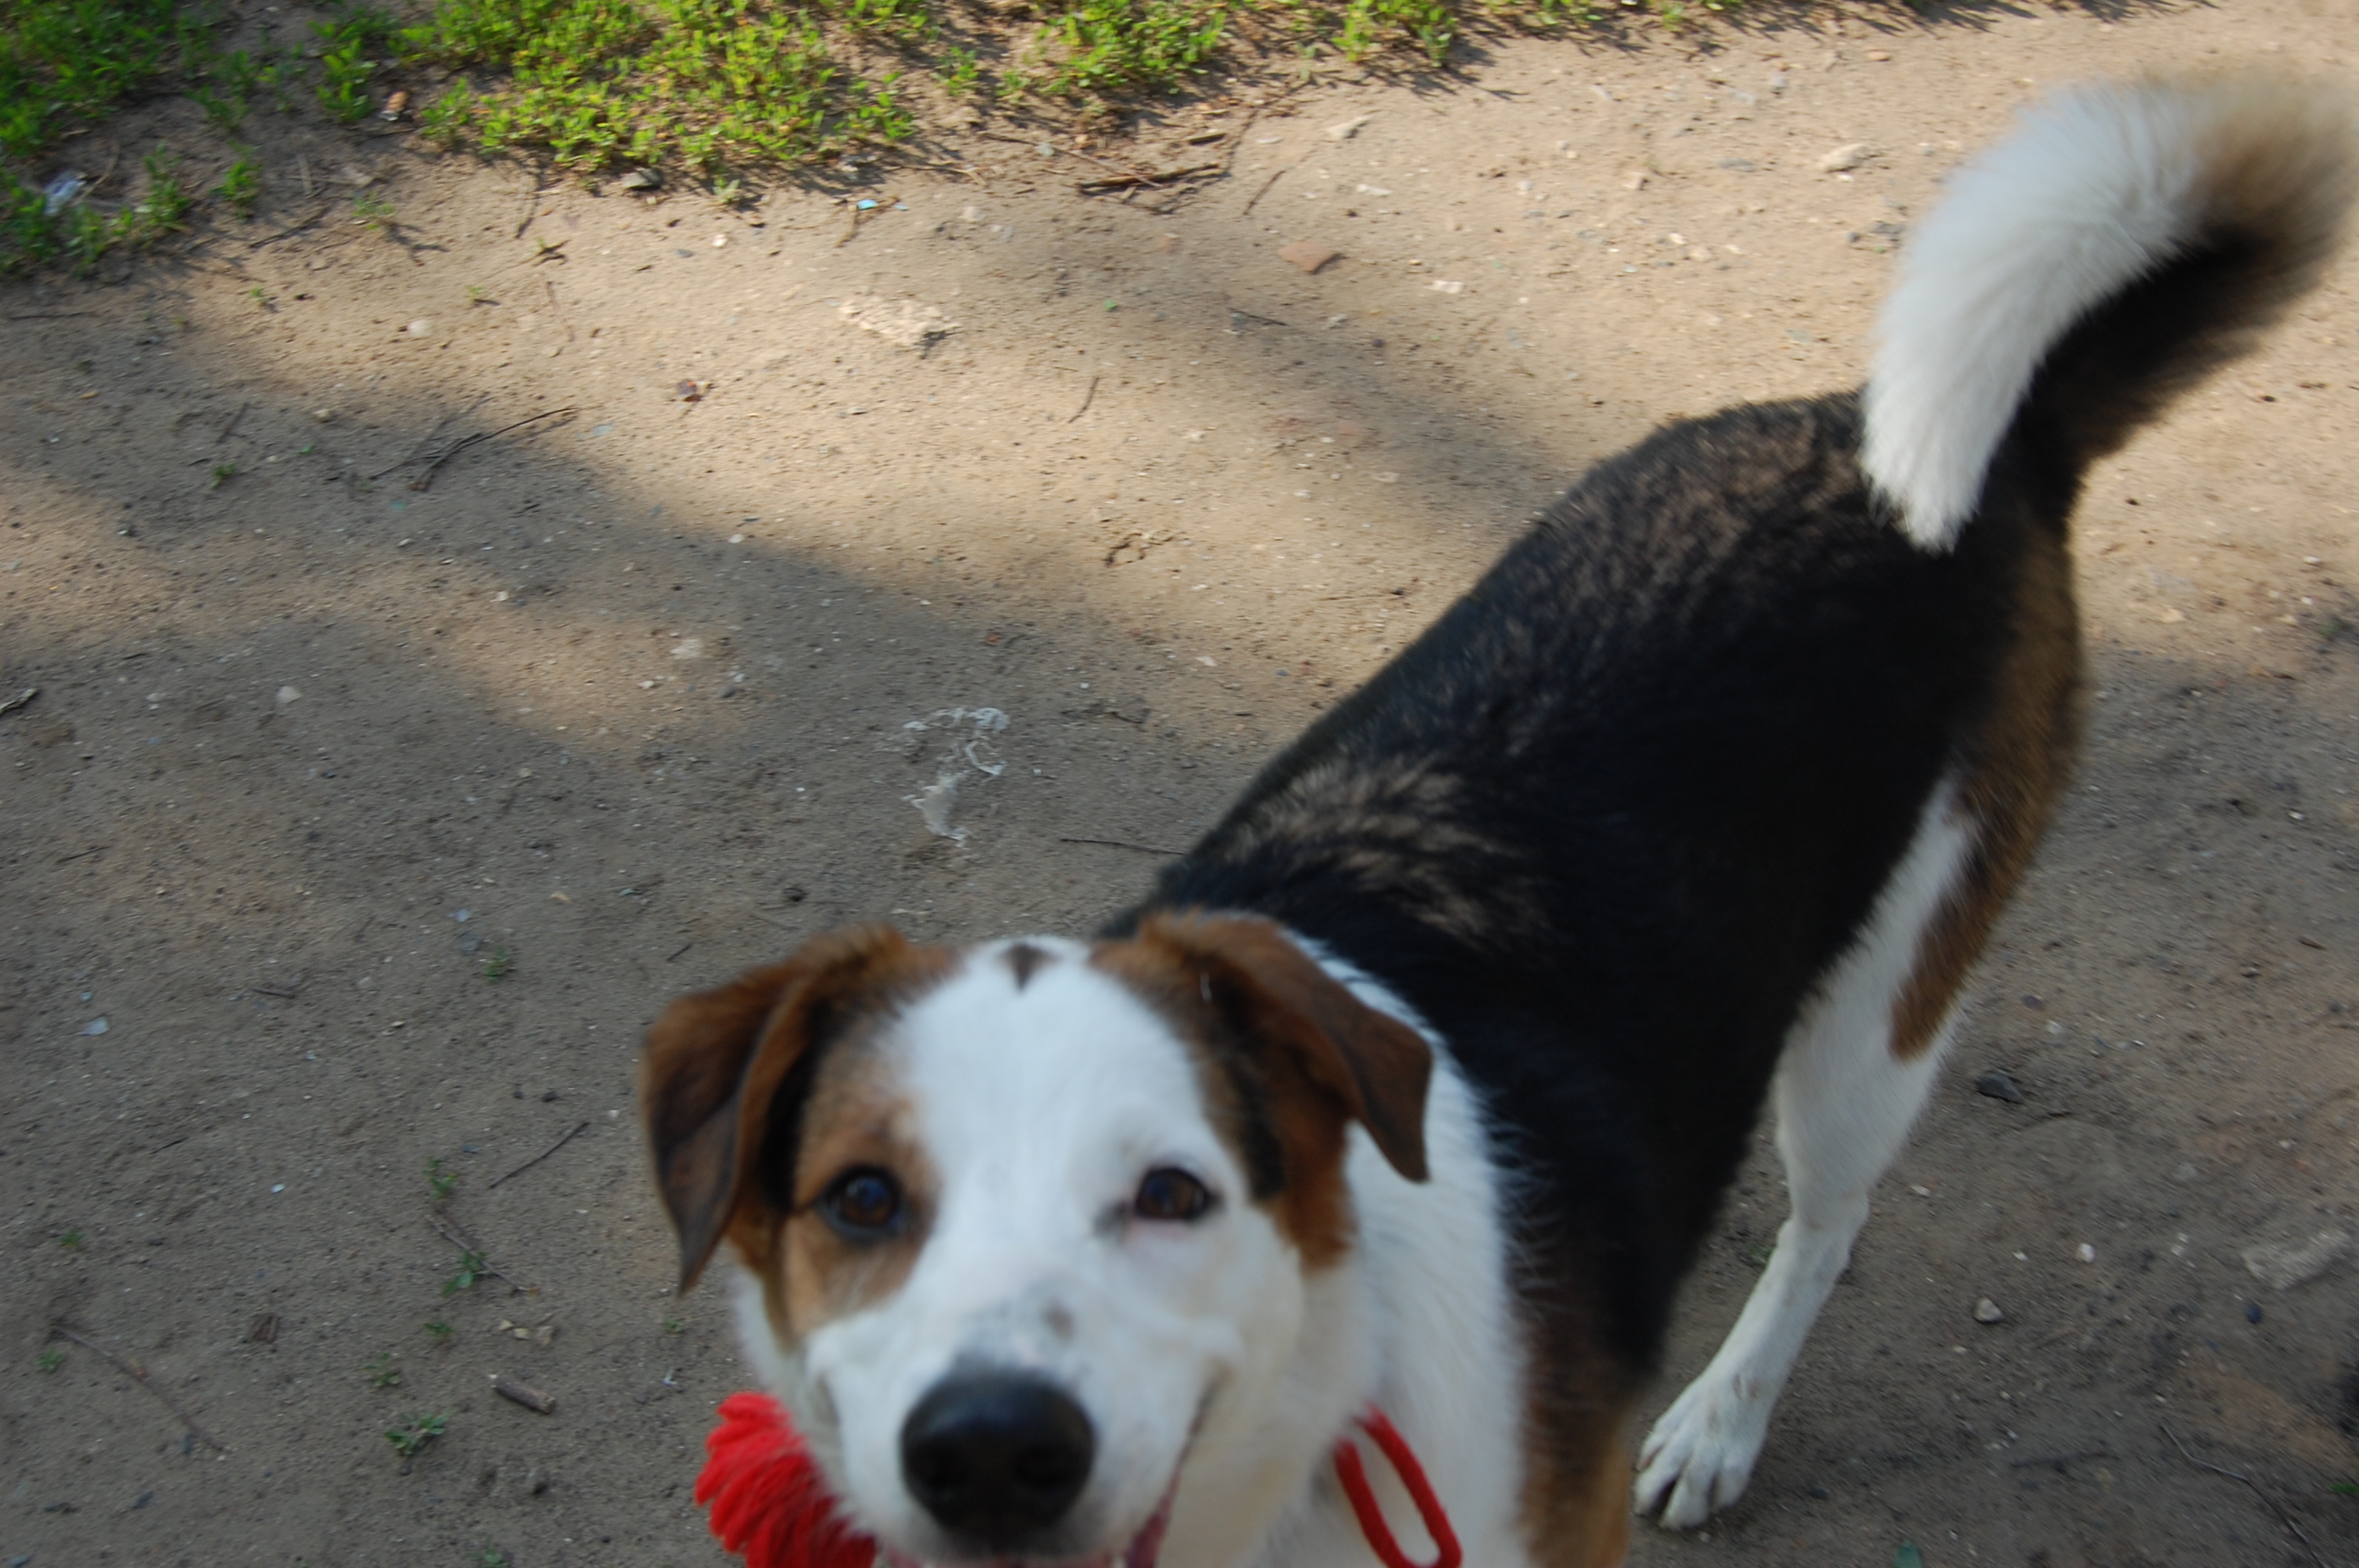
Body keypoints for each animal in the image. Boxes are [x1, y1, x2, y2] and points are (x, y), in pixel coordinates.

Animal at [641, 78, 2353, 1568]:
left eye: (1170, 1193)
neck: (1304, 1426)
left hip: (1877, 1019)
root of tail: (1951, 443)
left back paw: (1722, 1417)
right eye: (862, 1200)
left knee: (1828, 1218)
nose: (992, 1449)